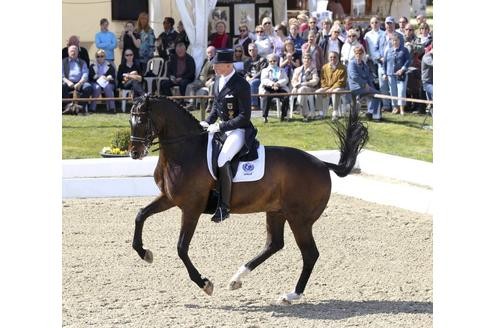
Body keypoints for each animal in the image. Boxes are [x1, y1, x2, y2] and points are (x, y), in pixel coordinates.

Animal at [128, 95, 368, 304]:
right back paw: (236, 279)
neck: (185, 151)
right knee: (274, 244)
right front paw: (144, 253)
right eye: (130, 120)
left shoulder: (191, 208)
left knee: (309, 254)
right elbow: (140, 215)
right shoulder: (169, 198)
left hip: (299, 219)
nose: (134, 153)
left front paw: (205, 283)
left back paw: (291, 295)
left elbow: (181, 247)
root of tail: (322, 165)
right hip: (276, 212)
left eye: (141, 120)